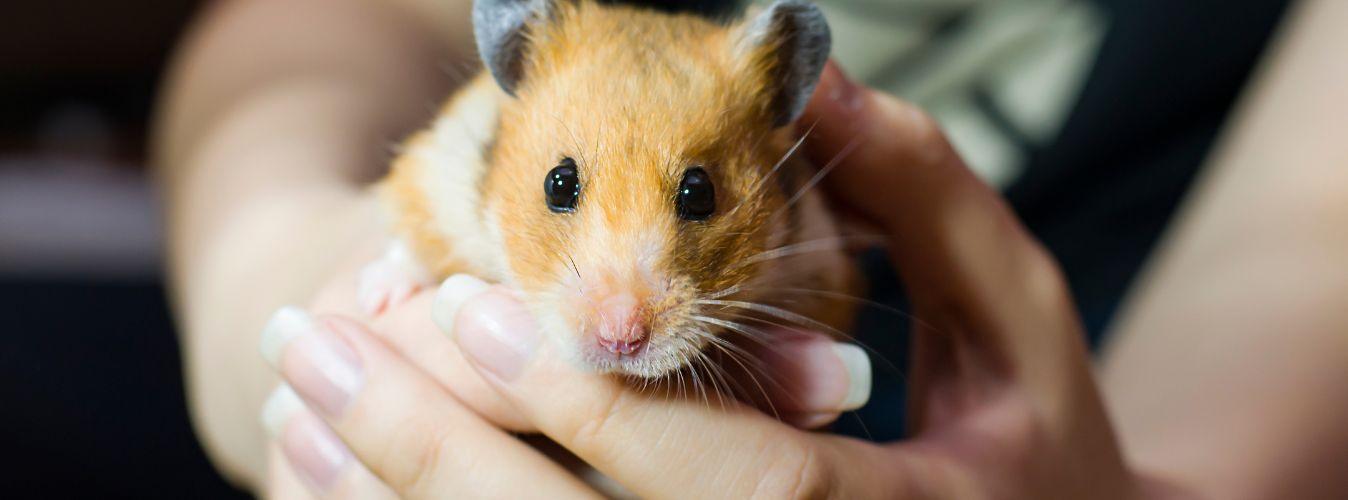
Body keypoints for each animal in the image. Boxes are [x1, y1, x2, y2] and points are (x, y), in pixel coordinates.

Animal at [359, 0, 859, 379]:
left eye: (701, 193)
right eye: (558, 184)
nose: (620, 339)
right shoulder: (434, 172)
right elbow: (409, 244)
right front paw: (375, 299)